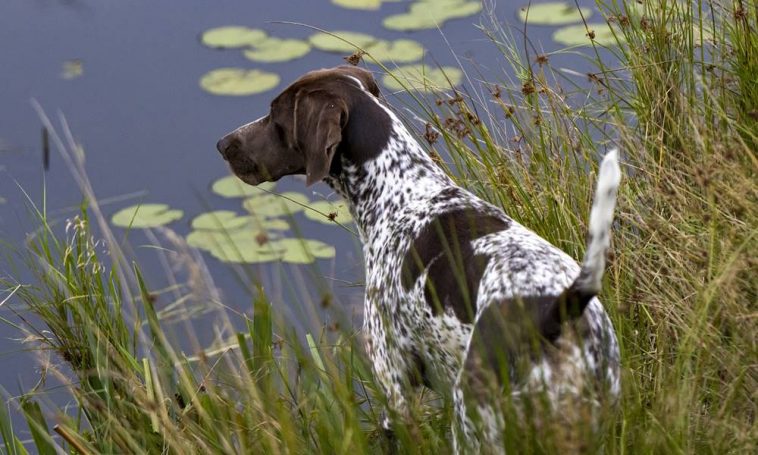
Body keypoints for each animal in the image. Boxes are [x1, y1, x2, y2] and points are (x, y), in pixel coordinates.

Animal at [217, 65, 620, 452]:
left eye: (275, 114)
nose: (223, 144)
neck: (402, 190)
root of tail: (559, 307)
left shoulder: (395, 389)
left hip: (472, 420)